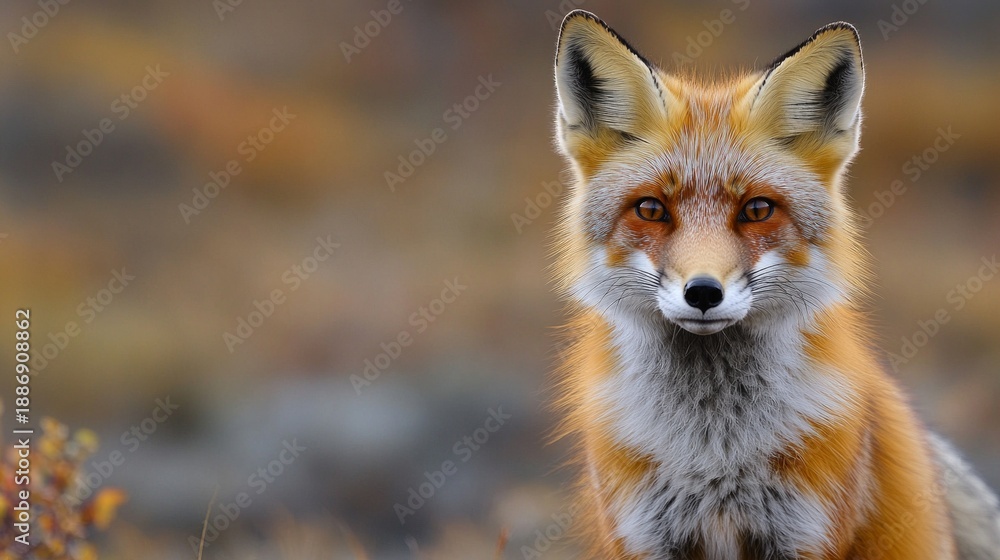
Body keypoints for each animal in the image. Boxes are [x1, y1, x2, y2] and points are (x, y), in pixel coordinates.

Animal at [550, 10, 1000, 560]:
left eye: (757, 210)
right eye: (652, 209)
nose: (703, 293)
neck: (713, 449)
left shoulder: (804, 533)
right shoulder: (643, 535)